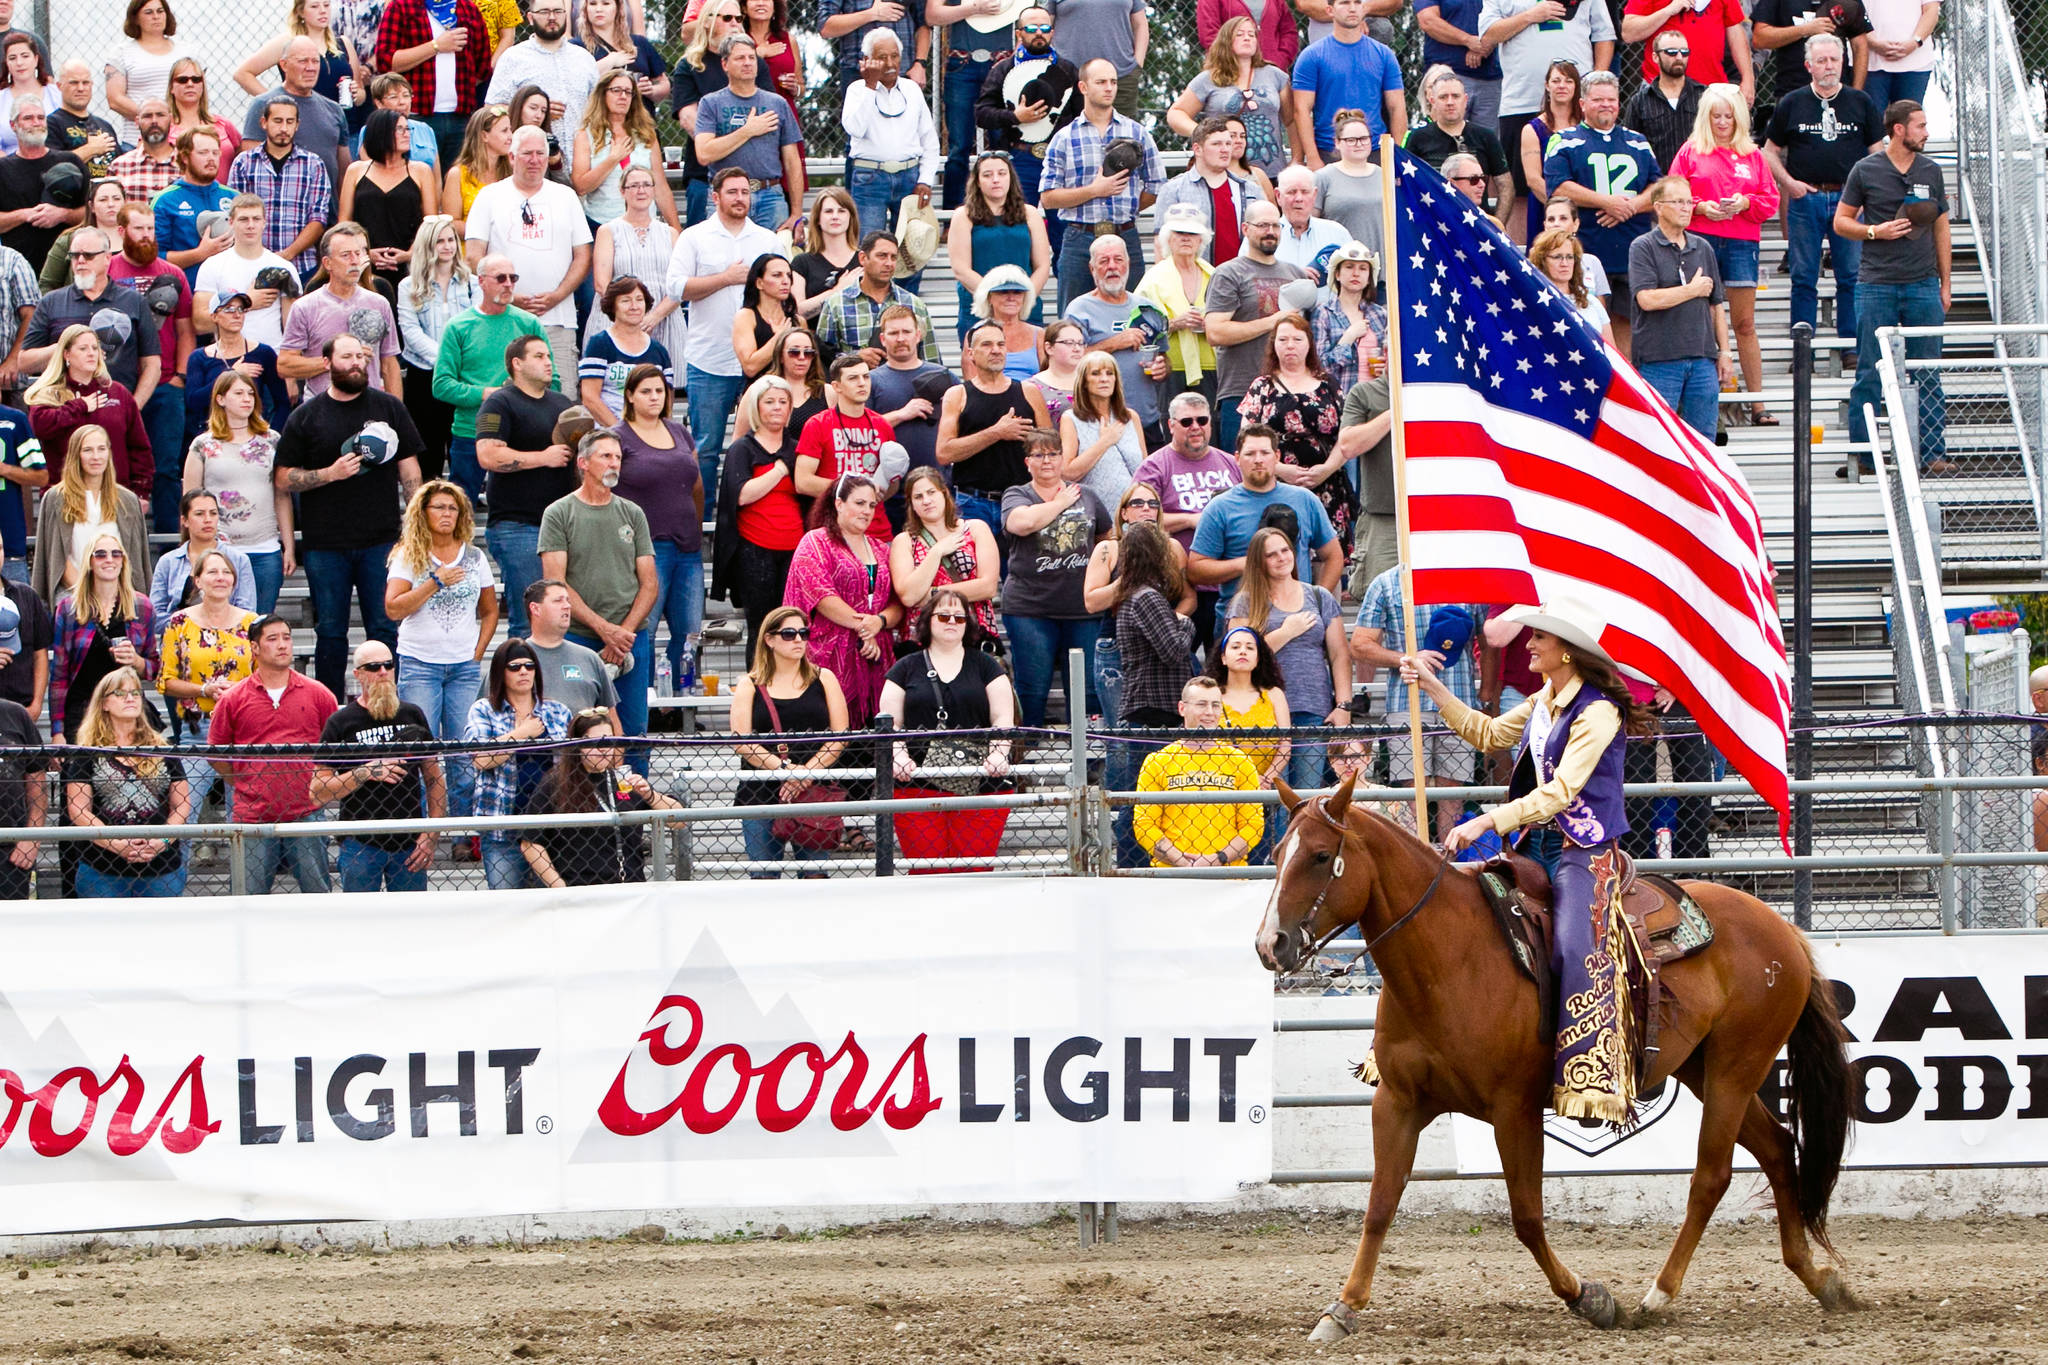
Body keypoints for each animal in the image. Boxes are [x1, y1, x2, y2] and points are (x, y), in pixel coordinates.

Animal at [1253, 773, 1867, 1342]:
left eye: (1321, 856)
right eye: (1279, 854)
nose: (1270, 944)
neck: (1449, 957)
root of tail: (1782, 928)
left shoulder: (1513, 1110)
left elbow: (1526, 1217)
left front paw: (1590, 1298)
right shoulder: (1398, 1102)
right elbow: (1379, 1205)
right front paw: (1341, 1310)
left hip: (1737, 1068)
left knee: (1711, 1176)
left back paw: (1658, 1296)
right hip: (1704, 1068)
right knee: (1778, 1147)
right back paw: (1820, 1279)